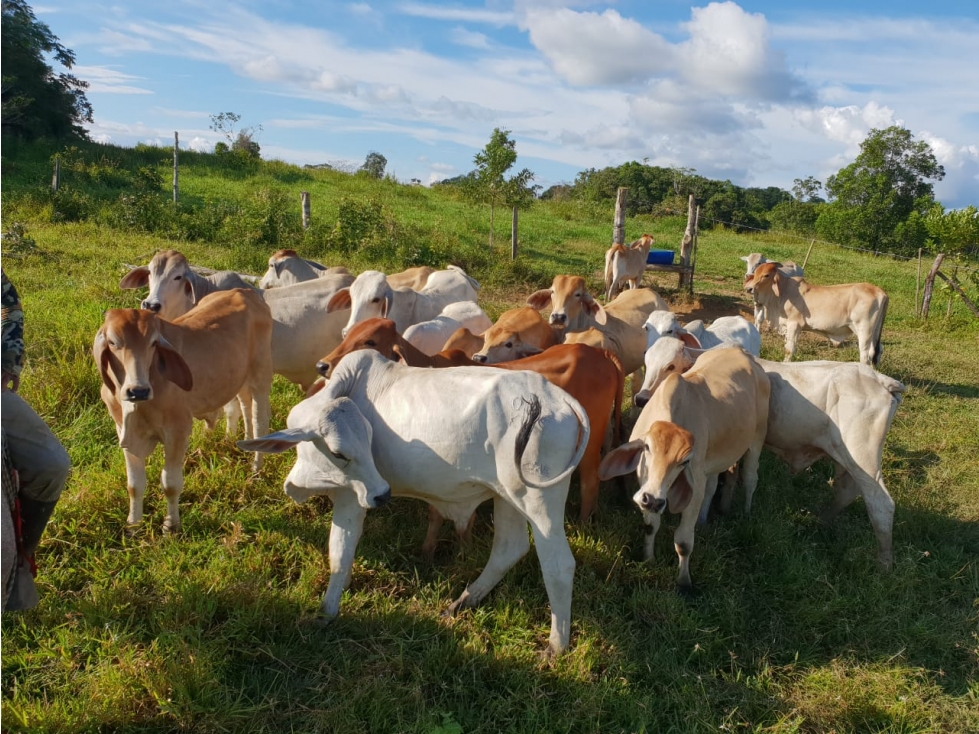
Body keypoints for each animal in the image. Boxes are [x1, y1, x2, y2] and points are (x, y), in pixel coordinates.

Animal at [94, 288, 274, 536]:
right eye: (113, 342)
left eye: (153, 343)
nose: (138, 391)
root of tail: (245, 291)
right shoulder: (123, 431)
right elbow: (134, 485)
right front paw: (133, 525)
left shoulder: (177, 431)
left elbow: (170, 483)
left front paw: (171, 526)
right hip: (239, 378)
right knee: (242, 407)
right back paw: (239, 443)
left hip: (261, 376)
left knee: (259, 420)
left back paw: (256, 467)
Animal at [237, 350, 588, 660]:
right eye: (339, 452)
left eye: (353, 448)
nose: (383, 495)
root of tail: (558, 399)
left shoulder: (352, 496)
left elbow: (340, 550)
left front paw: (326, 613)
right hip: (508, 496)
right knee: (508, 548)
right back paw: (461, 603)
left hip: (538, 500)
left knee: (558, 564)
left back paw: (555, 647)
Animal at [600, 350, 768, 592]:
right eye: (647, 447)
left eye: (684, 461)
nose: (652, 500)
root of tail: (742, 353)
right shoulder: (648, 486)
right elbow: (650, 526)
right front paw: (648, 558)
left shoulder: (692, 488)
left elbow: (683, 542)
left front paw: (684, 582)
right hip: (713, 461)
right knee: (712, 486)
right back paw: (704, 519)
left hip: (757, 437)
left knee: (750, 478)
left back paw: (745, 511)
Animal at [748, 264, 892, 368]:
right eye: (755, 273)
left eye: (766, 275)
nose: (749, 288)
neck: (784, 292)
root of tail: (880, 291)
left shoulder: (794, 324)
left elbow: (789, 349)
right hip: (874, 333)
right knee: (877, 352)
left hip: (864, 331)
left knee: (865, 357)